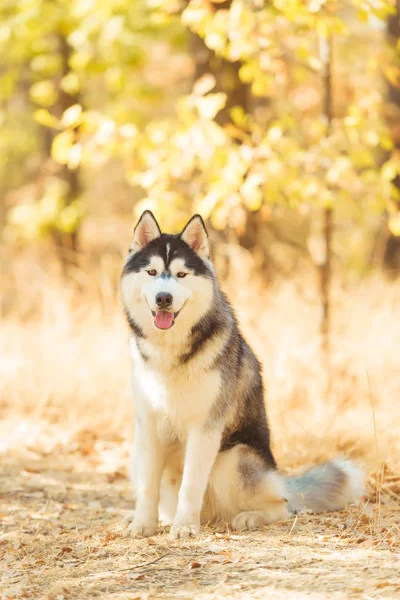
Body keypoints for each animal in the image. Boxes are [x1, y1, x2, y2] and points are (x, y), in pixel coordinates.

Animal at [120, 211, 364, 540]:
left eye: (182, 275)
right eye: (152, 272)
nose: (163, 298)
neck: (172, 351)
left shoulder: (206, 427)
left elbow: (191, 486)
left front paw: (184, 527)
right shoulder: (147, 424)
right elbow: (148, 486)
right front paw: (142, 524)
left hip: (233, 458)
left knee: (282, 506)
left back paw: (246, 517)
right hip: (138, 457)